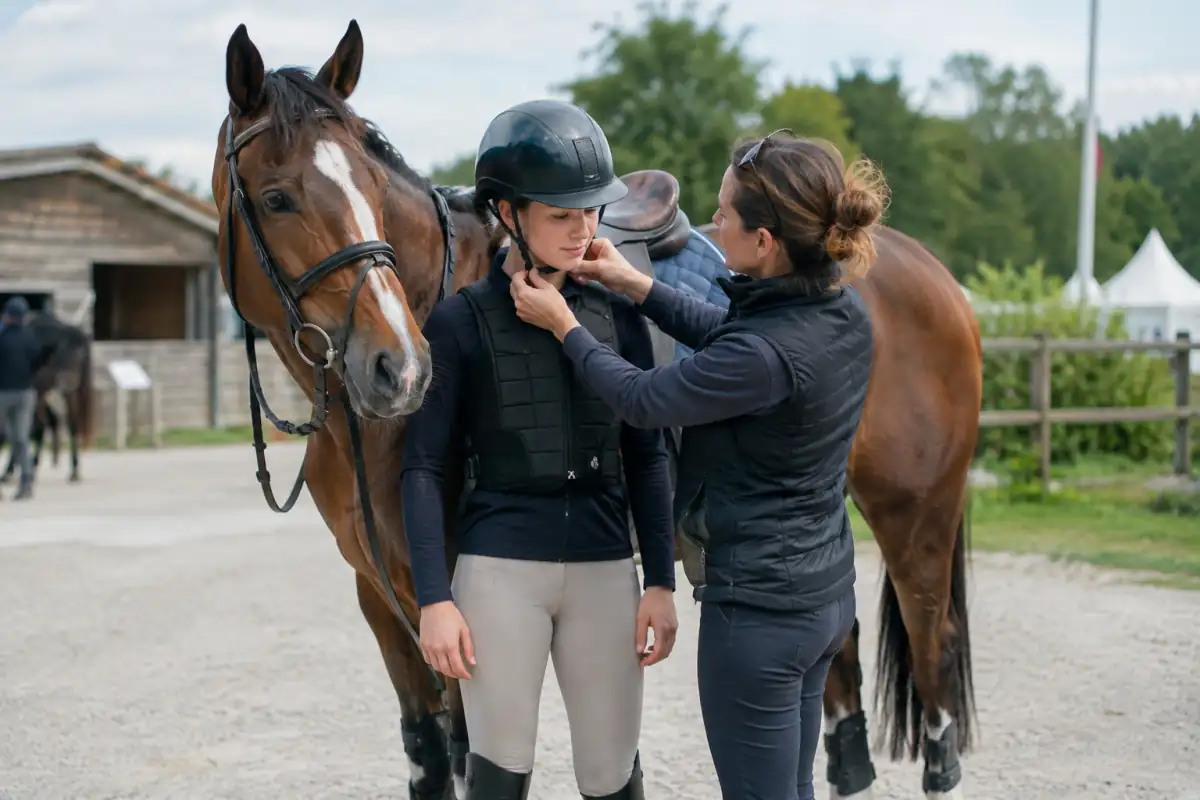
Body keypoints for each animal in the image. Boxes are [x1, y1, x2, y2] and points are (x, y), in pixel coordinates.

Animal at [0, 311, 94, 484]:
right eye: (63, 349)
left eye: (80, 353)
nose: (69, 381)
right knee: (68, 424)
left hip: (46, 393)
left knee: (42, 426)